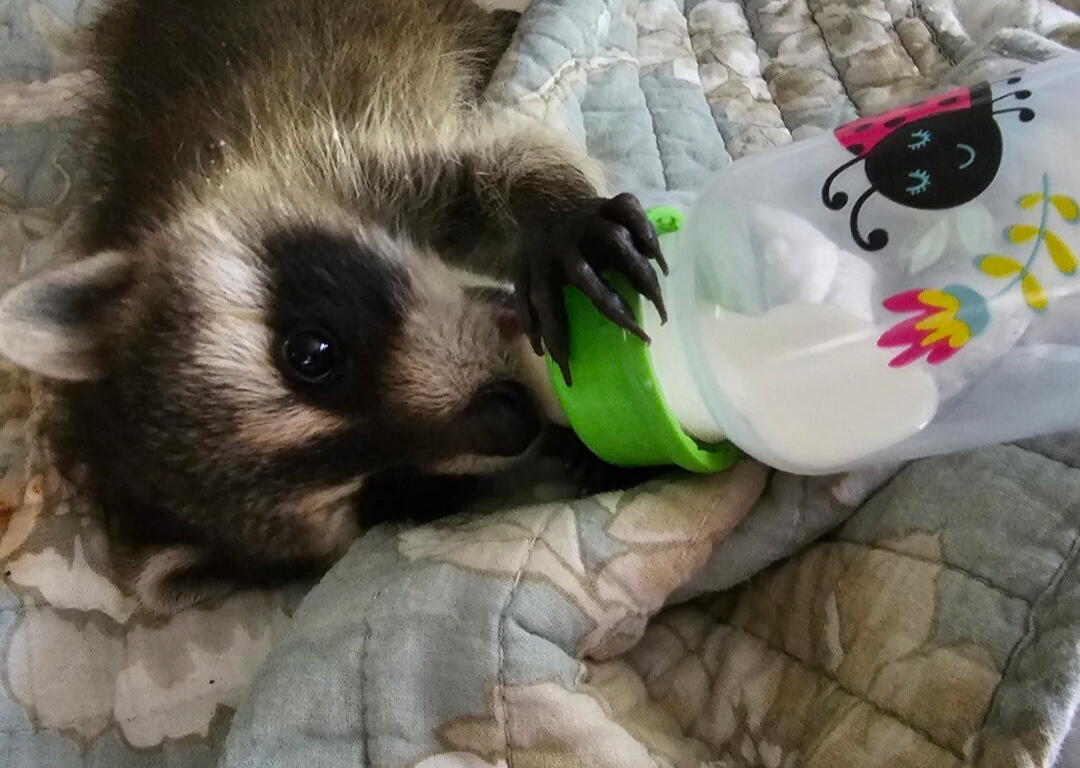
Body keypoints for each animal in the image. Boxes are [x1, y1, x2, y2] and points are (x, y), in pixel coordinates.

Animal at [0, 0, 666, 614]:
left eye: (311, 354)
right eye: (390, 492)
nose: (515, 420)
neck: (179, 202)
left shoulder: (332, 155)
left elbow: (495, 163)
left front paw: (556, 217)